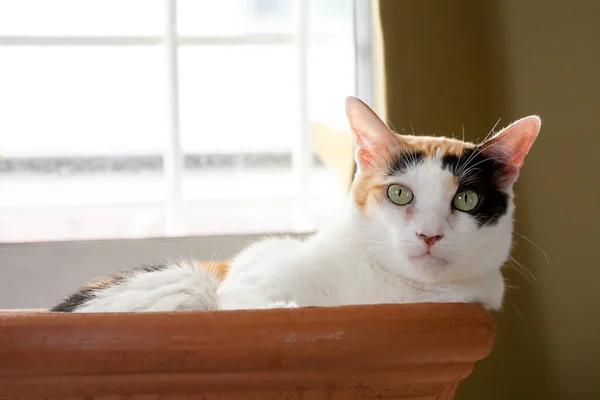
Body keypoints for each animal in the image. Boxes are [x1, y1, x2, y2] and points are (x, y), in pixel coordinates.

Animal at [51, 96, 540, 312]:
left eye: (467, 199)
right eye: (400, 193)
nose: (429, 234)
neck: (400, 295)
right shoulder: (248, 283)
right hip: (188, 283)